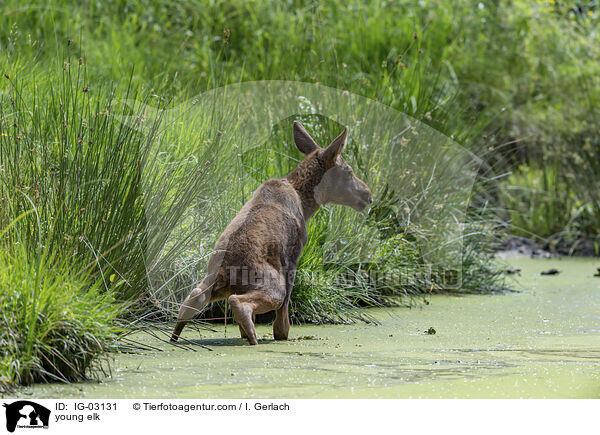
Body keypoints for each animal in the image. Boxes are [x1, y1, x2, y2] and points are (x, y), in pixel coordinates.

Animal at [169, 122, 372, 344]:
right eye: (348, 172)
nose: (368, 194)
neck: (306, 203)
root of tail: (224, 271)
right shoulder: (292, 258)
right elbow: (283, 316)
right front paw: (282, 336)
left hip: (210, 284)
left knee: (192, 300)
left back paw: (175, 338)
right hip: (271, 285)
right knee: (240, 303)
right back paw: (253, 339)